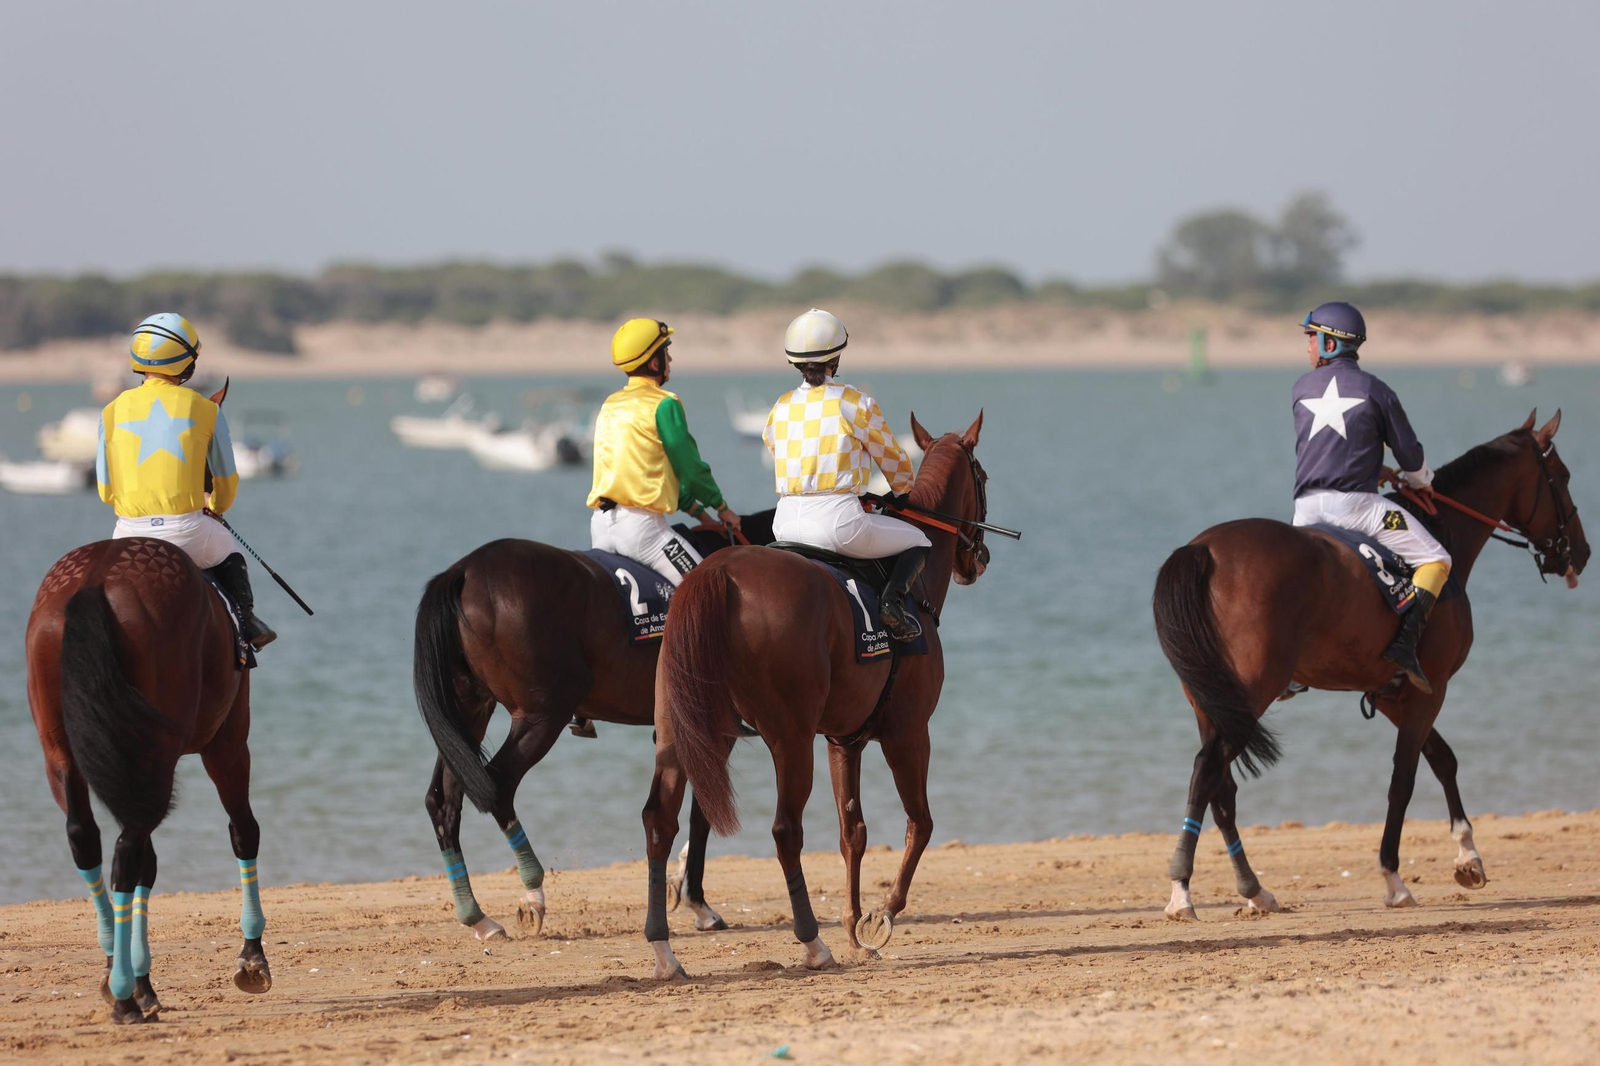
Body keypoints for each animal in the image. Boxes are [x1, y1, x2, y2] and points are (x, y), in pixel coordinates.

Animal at [23, 386, 274, 1025]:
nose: (213, 503)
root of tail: (92, 582)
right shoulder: (227, 741)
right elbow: (244, 830)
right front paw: (251, 958)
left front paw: (144, 977)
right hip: (169, 749)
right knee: (128, 848)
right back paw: (125, 989)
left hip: (61, 748)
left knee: (90, 839)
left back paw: (121, 979)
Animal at [411, 511, 776, 939]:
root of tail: (464, 570)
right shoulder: (712, 725)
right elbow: (703, 811)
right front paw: (698, 902)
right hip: (541, 715)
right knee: (498, 785)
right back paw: (533, 893)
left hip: (470, 711)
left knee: (442, 801)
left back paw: (479, 918)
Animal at [640, 413, 991, 979]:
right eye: (983, 478)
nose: (978, 557)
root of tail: (717, 572)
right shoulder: (908, 733)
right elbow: (920, 823)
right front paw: (882, 915)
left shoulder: (843, 740)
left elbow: (853, 831)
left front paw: (853, 924)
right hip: (789, 738)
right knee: (786, 829)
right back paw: (812, 943)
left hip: (680, 731)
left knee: (659, 821)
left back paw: (664, 951)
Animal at [1152, 410, 1587, 919]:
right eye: (1563, 477)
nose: (1581, 552)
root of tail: (1203, 549)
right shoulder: (1429, 690)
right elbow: (1404, 779)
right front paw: (1395, 879)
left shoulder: (1396, 692)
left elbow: (1443, 759)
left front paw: (1468, 855)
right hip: (1246, 696)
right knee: (1208, 771)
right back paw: (1182, 891)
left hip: (1211, 702)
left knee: (1221, 789)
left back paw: (1254, 889)